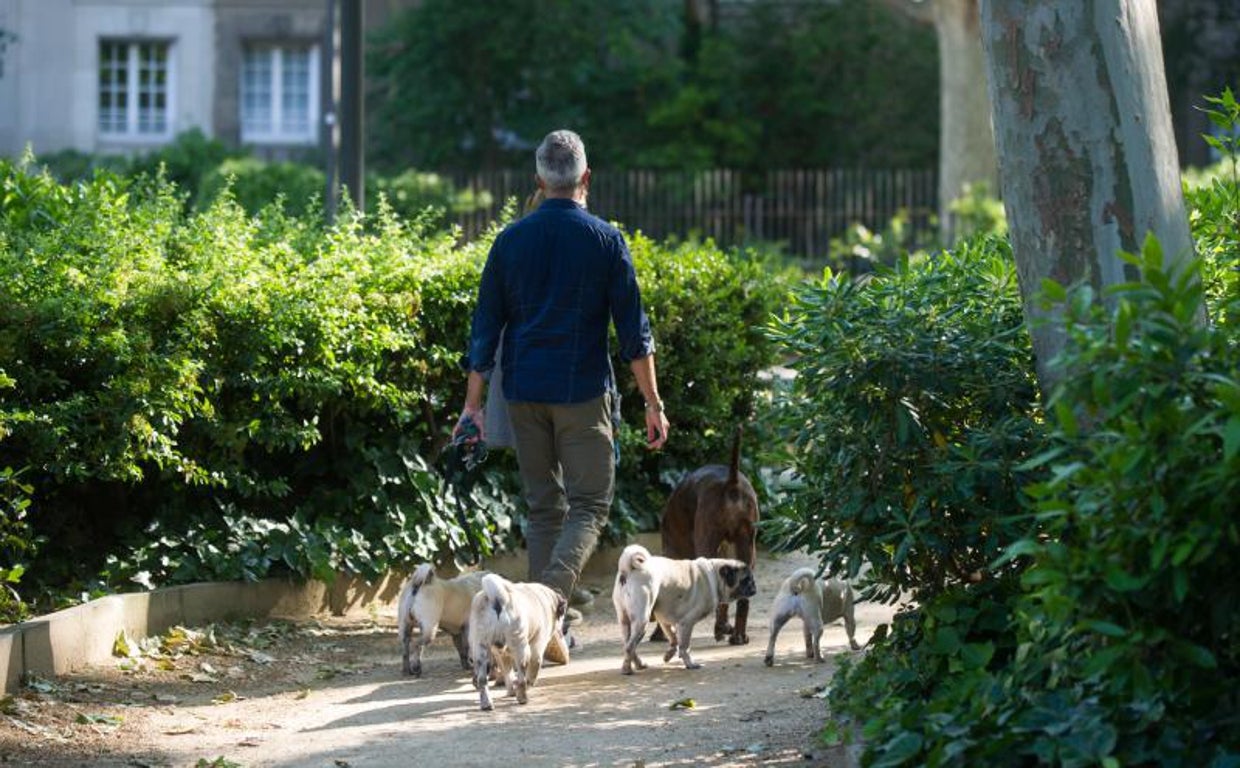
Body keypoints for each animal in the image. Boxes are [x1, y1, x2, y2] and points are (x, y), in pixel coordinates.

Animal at [466, 573, 567, 709]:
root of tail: (497, 596)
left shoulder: (502, 655)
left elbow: (507, 674)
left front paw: (510, 692)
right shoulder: (537, 645)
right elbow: (534, 668)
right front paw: (526, 686)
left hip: (480, 647)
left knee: (482, 679)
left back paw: (487, 703)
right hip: (521, 647)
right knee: (522, 676)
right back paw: (522, 698)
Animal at [610, 543, 753, 674]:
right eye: (745, 580)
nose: (753, 585)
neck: (713, 576)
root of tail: (628, 569)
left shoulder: (665, 621)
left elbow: (673, 638)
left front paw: (668, 655)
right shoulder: (687, 623)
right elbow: (684, 646)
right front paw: (689, 664)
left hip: (625, 621)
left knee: (628, 645)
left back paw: (639, 665)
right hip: (642, 621)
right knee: (629, 647)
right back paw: (627, 669)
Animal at [659, 426, 753, 645]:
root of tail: (731, 481)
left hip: (708, 544)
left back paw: (722, 628)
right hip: (746, 544)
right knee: (742, 599)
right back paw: (737, 634)